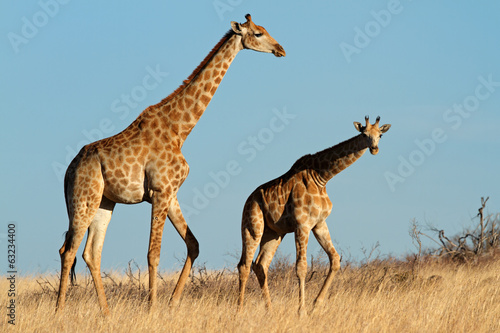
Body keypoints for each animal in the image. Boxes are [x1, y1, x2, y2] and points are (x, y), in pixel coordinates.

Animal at [55, 13, 286, 314]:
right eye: (258, 33)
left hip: (105, 202)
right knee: (68, 250)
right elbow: (154, 253)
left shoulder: (171, 193)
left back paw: (105, 312)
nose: (280, 49)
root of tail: (69, 170)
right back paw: (59, 310)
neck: (180, 129)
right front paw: (152, 307)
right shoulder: (160, 192)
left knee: (90, 253)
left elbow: (194, 244)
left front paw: (172, 302)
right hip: (84, 199)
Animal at [237, 116, 390, 314]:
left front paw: (316, 304)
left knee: (261, 265)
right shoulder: (302, 224)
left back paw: (269, 309)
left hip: (274, 233)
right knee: (244, 265)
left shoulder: (319, 223)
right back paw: (239, 310)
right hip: (252, 226)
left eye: (380, 135)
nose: (374, 149)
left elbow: (335, 259)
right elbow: (301, 267)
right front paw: (301, 311)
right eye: (364, 134)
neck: (322, 177)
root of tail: (248, 200)